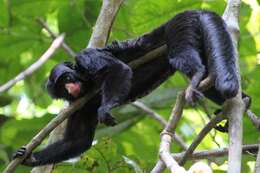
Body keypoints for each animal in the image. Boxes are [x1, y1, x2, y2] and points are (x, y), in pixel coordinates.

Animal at [13, 9, 250, 166]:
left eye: (68, 78)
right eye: (63, 89)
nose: (71, 88)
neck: (86, 82)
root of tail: (190, 11)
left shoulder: (86, 57)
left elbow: (119, 68)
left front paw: (105, 109)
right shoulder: (79, 105)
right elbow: (78, 141)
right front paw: (30, 157)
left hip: (180, 26)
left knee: (183, 57)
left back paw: (197, 78)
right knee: (212, 80)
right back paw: (243, 100)